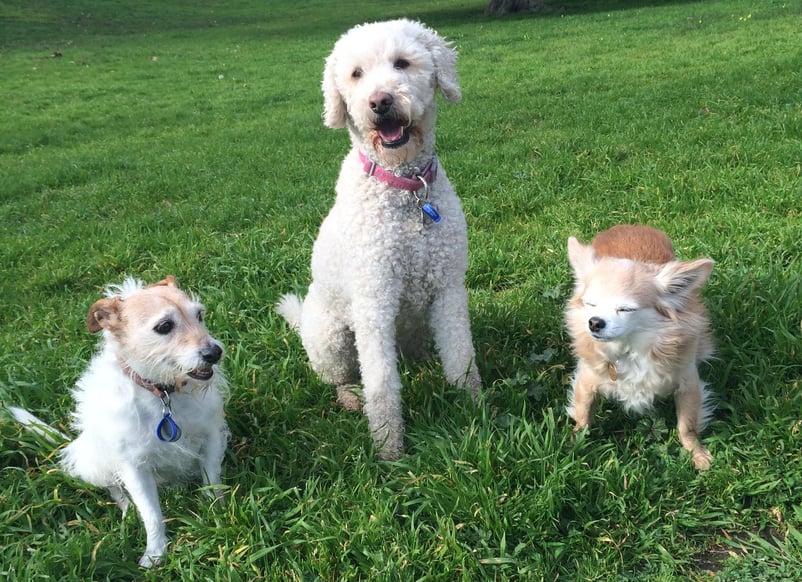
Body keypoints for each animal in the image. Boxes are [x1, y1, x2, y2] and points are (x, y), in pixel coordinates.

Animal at [10, 276, 228, 568]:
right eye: (164, 326)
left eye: (199, 315)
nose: (215, 352)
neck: (163, 394)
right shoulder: (134, 467)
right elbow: (152, 514)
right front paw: (155, 553)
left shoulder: (212, 436)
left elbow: (212, 481)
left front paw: (217, 513)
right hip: (96, 464)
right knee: (113, 488)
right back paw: (127, 509)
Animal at [276, 20, 476, 464]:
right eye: (356, 74)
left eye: (402, 63)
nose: (380, 101)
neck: (405, 187)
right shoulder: (374, 304)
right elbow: (382, 383)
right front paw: (389, 448)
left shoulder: (449, 289)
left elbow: (461, 355)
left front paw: (476, 406)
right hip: (331, 338)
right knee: (340, 376)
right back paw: (351, 396)